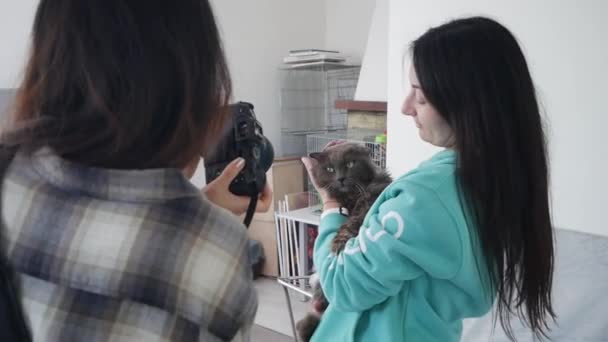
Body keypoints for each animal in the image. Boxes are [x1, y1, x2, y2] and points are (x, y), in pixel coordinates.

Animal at [296, 142, 392, 342]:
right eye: (330, 169)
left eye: (350, 164)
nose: (340, 178)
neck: (351, 196)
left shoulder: (368, 201)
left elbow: (350, 223)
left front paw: (338, 244)